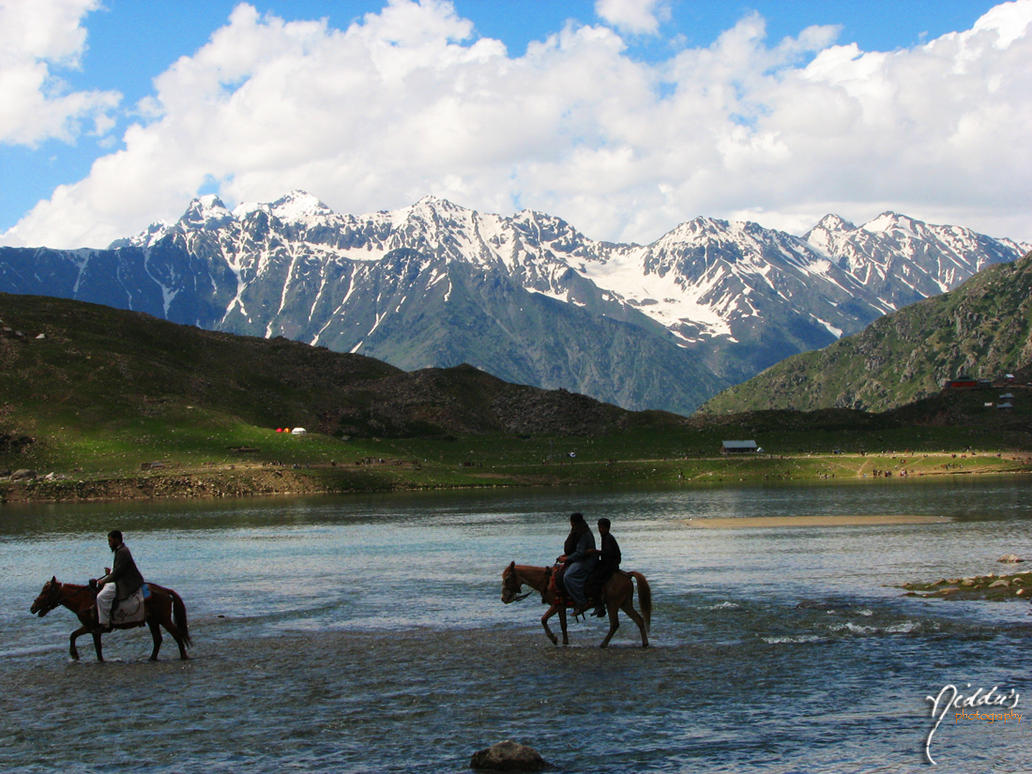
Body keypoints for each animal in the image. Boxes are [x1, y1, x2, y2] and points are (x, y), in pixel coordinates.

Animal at [31, 577, 192, 664]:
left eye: (45, 592)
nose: (33, 607)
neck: (84, 600)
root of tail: (164, 590)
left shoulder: (94, 629)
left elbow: (96, 648)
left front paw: (76, 655)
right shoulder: (89, 628)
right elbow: (74, 635)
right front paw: (75, 655)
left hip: (163, 619)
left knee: (177, 635)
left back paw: (183, 656)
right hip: (153, 621)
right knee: (158, 639)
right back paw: (151, 658)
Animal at [501, 565, 652, 648]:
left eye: (507, 578)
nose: (504, 598)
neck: (547, 580)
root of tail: (627, 575)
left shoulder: (556, 605)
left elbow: (543, 619)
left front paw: (554, 639)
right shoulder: (560, 607)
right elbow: (563, 625)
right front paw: (565, 642)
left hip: (613, 604)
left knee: (615, 624)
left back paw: (603, 644)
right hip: (625, 604)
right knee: (639, 620)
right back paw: (644, 643)